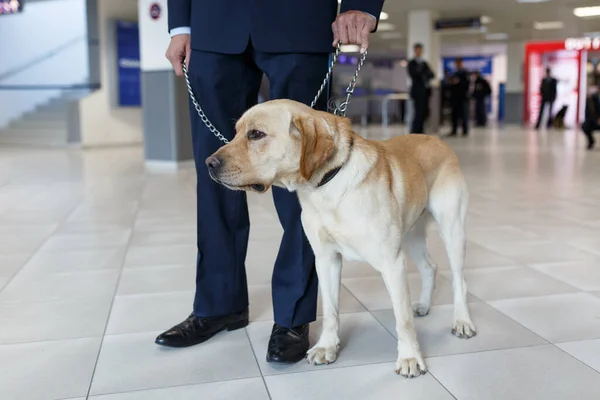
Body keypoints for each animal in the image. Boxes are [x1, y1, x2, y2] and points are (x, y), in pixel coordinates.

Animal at [207, 98, 478, 376]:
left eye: (256, 134)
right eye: (236, 133)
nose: (209, 163)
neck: (327, 187)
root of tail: (436, 139)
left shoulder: (391, 263)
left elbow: (402, 319)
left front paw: (410, 357)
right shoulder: (326, 259)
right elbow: (330, 310)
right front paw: (327, 346)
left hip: (452, 229)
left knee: (459, 280)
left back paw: (462, 320)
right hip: (411, 234)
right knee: (429, 267)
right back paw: (424, 304)